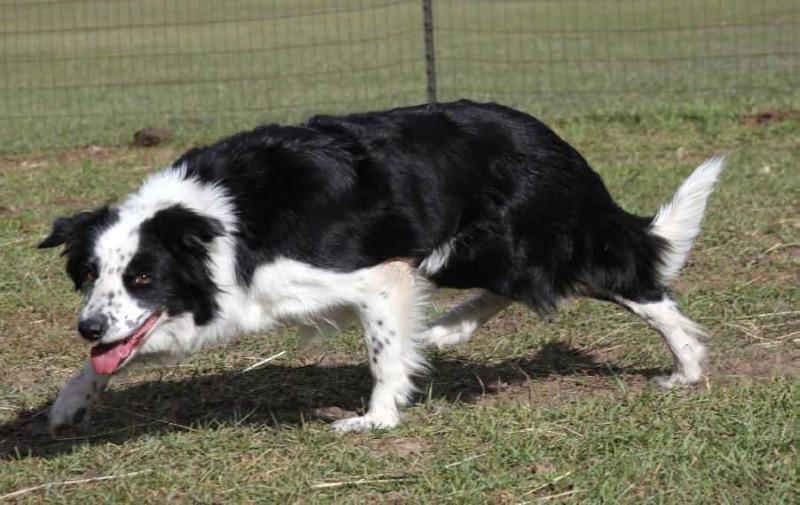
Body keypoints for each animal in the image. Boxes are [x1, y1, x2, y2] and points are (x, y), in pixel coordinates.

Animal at [39, 100, 724, 432]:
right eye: (90, 276)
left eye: (142, 277)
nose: (86, 327)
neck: (213, 224)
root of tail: (550, 138)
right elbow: (108, 360)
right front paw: (69, 405)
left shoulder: (373, 276)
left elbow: (383, 354)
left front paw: (377, 419)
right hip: (467, 253)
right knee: (518, 289)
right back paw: (449, 327)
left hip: (508, 241)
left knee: (627, 280)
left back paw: (687, 367)